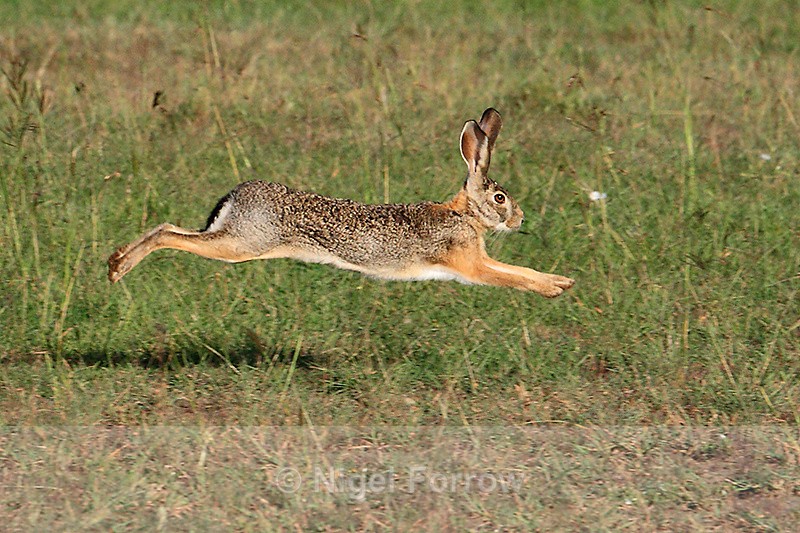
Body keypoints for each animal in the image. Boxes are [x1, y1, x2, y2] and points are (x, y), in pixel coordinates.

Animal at [108, 108, 575, 297]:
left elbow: (519, 269)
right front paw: (551, 289)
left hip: (230, 238)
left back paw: (114, 261)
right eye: (500, 197)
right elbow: (508, 277)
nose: (519, 219)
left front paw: (563, 282)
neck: (464, 215)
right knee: (168, 235)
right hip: (241, 245)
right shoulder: (470, 265)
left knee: (165, 226)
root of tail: (235, 197)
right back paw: (119, 269)